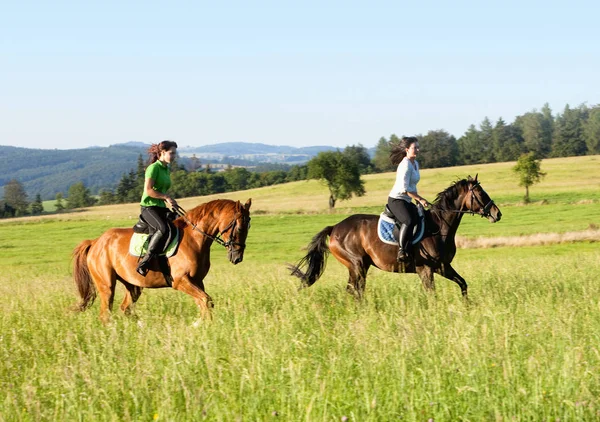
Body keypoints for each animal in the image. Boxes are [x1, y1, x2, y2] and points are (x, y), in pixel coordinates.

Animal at [72, 199, 251, 324]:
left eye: (248, 227)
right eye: (240, 228)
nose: (237, 258)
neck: (195, 238)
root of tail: (95, 242)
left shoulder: (197, 281)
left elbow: (204, 302)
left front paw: (203, 324)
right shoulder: (180, 281)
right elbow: (206, 301)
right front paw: (200, 324)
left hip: (133, 285)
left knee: (126, 309)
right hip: (107, 285)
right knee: (105, 314)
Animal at [290, 176, 502, 298]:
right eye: (480, 192)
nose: (497, 213)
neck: (439, 227)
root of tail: (334, 228)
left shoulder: (443, 267)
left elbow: (463, 284)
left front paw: (468, 307)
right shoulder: (425, 269)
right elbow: (432, 295)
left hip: (358, 267)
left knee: (354, 291)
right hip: (357, 264)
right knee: (355, 290)